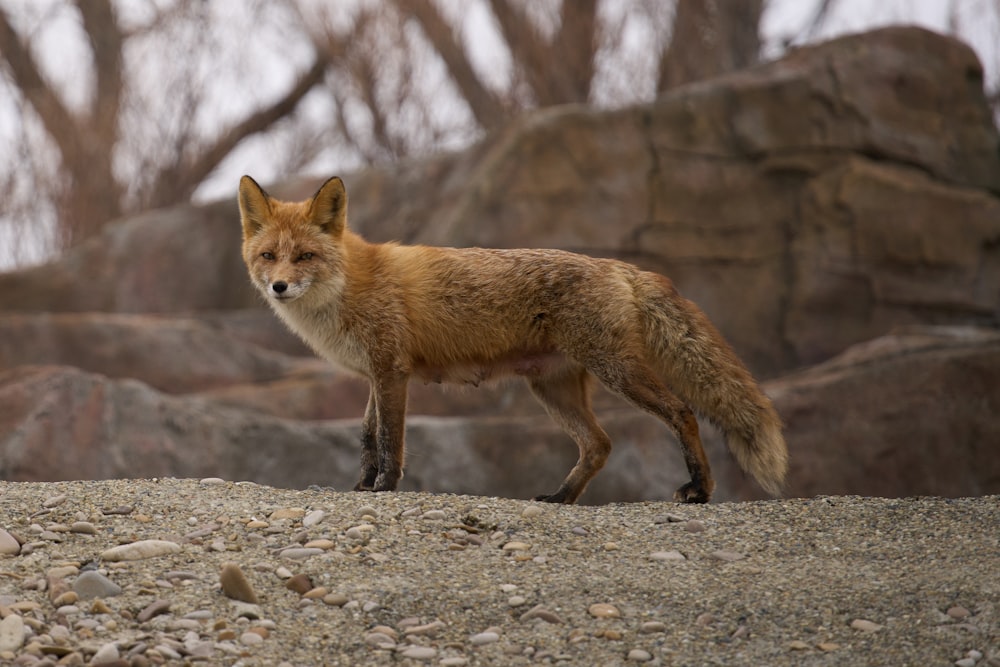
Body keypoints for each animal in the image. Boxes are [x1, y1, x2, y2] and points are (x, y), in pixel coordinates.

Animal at [238, 175, 784, 504]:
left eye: (305, 256)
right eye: (269, 256)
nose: (279, 286)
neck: (350, 284)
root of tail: (619, 266)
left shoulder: (391, 371)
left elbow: (391, 441)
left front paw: (385, 489)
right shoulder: (376, 374)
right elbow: (369, 437)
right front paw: (359, 486)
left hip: (616, 371)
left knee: (682, 412)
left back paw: (700, 488)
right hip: (552, 389)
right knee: (600, 444)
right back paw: (562, 498)